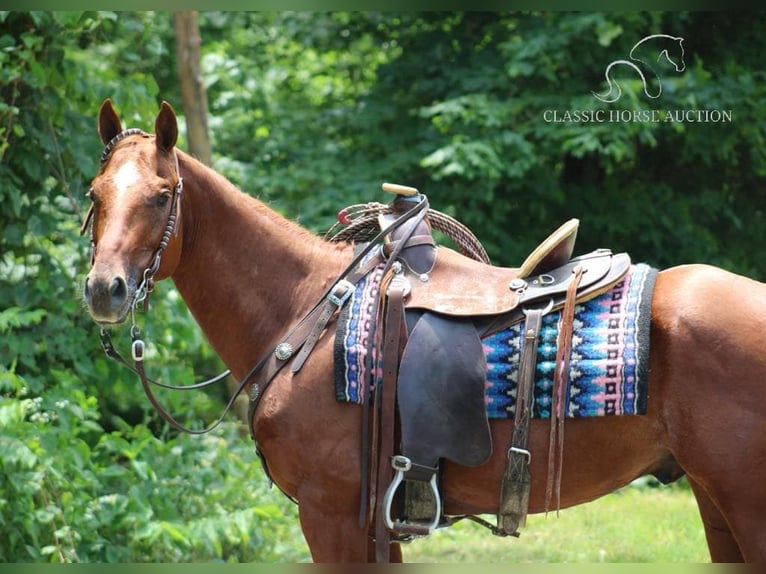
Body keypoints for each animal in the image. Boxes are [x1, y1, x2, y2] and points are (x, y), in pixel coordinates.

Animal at [81, 99, 766, 564]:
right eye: (94, 194)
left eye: (162, 195)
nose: (104, 289)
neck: (305, 310)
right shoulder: (374, 526)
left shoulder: (332, 517)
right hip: (715, 505)